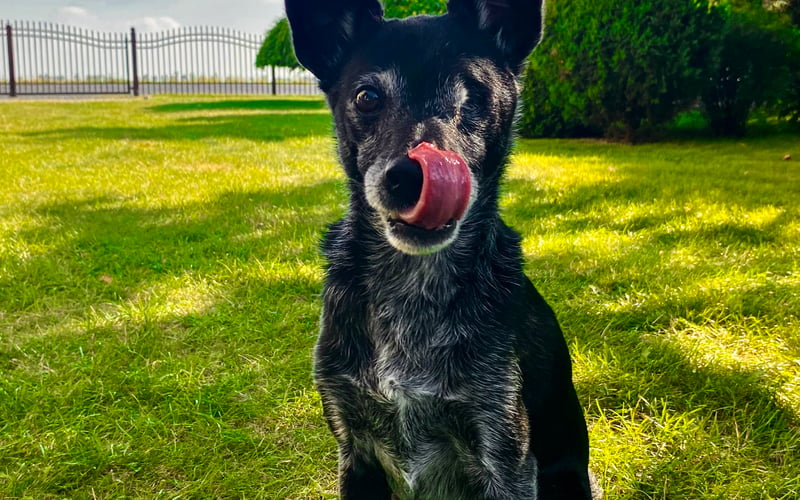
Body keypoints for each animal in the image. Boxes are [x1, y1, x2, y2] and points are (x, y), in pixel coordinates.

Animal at [284, 1, 596, 498]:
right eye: (367, 97)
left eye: (474, 96)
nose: (409, 176)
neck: (413, 285)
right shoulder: (354, 450)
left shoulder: (506, 458)